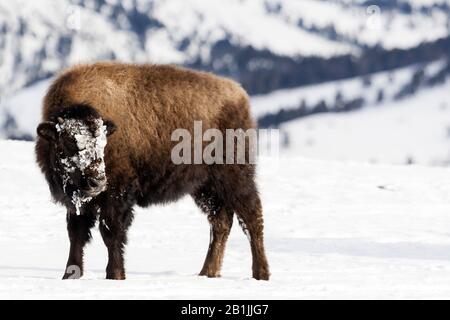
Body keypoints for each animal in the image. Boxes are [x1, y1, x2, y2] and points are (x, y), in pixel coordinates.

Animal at [37, 62, 268, 280]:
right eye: (67, 142)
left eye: (102, 141)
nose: (97, 182)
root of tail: (239, 94)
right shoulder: (77, 203)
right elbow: (76, 235)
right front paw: (70, 275)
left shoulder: (117, 195)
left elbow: (111, 233)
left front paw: (115, 275)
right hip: (204, 187)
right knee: (221, 223)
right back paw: (207, 273)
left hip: (235, 178)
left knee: (251, 218)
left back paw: (261, 274)